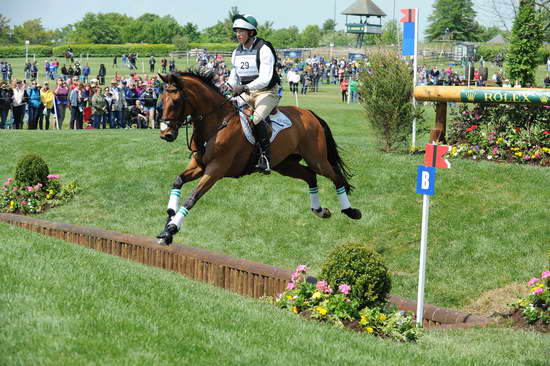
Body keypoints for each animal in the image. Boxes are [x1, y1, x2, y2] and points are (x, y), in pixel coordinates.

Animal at [156, 69, 362, 244]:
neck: (216, 123)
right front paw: (168, 222)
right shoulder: (198, 166)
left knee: (335, 175)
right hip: (285, 165)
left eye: (175, 102)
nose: (166, 134)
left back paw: (351, 211)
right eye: (160, 101)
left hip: (316, 159)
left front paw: (171, 229)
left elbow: (193, 197)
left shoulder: (216, 170)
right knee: (310, 176)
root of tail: (309, 114)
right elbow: (178, 182)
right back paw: (320, 211)